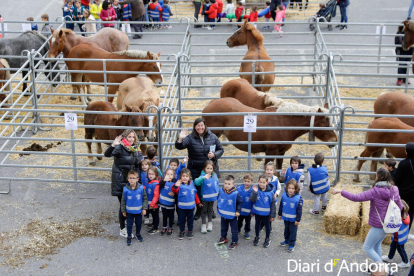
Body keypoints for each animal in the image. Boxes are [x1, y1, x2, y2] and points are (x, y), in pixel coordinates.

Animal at [202, 97, 338, 170]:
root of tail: (210, 104)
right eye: (326, 125)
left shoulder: (281, 152)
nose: (335, 141)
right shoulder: (271, 152)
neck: (284, 123)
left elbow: (278, 168)